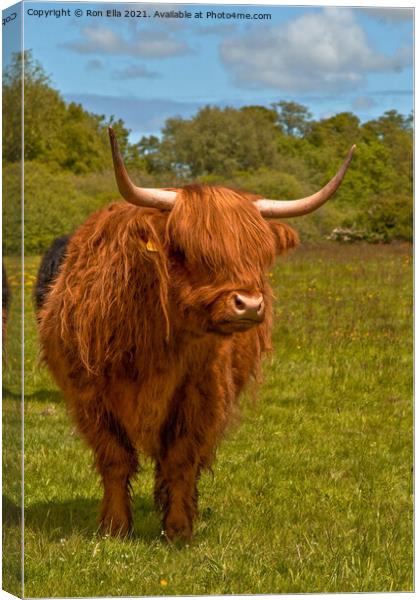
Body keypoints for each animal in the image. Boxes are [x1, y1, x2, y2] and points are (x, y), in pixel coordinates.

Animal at [36, 130, 354, 540]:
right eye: (186, 250)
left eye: (258, 254)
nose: (249, 304)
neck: (153, 341)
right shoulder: (89, 396)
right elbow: (115, 458)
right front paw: (116, 526)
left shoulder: (201, 397)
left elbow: (181, 459)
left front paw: (177, 528)